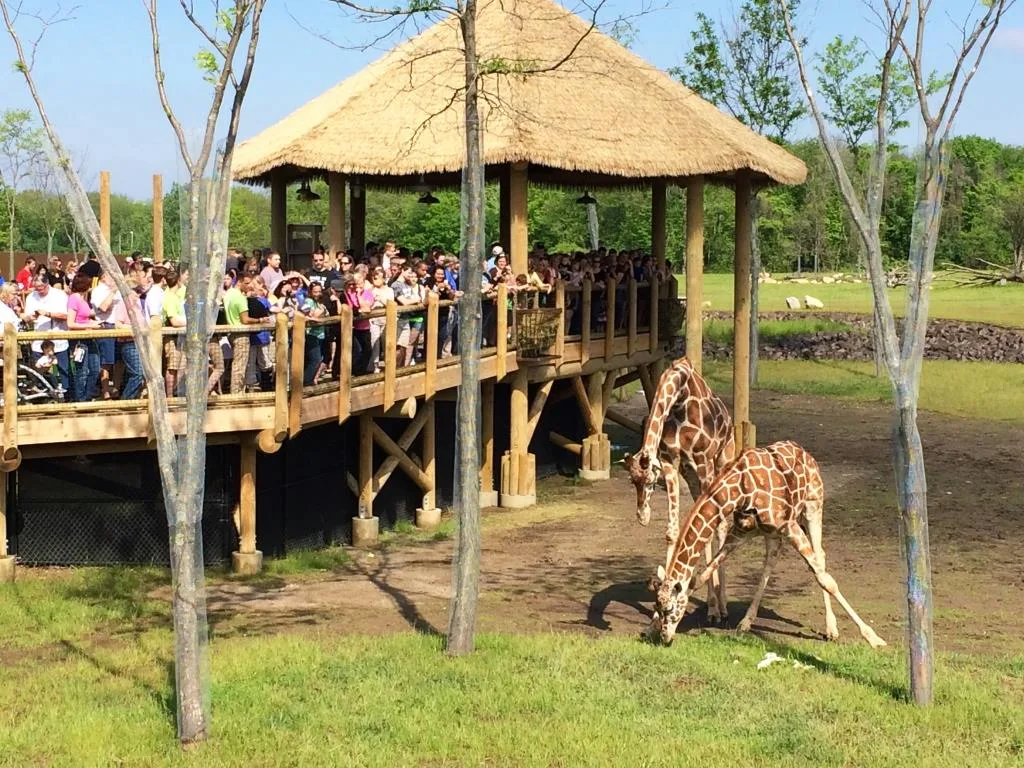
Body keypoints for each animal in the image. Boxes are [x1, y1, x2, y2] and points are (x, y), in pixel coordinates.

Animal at [624, 356, 736, 624]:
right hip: (691, 475)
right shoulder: (670, 463)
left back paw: (721, 607)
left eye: (651, 482)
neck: (680, 398)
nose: (642, 517)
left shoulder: (703, 460)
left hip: (721, 461)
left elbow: (709, 531)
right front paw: (661, 602)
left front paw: (713, 609)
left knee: (721, 525)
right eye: (633, 482)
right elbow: (672, 532)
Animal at [651, 440, 886, 649]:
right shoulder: (741, 532)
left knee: (820, 556)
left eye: (669, 609)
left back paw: (832, 630)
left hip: (812, 507)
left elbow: (826, 580)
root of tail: (806, 453)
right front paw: (651, 626)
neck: (739, 489)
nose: (665, 638)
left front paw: (873, 638)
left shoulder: (790, 526)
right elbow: (700, 576)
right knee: (769, 564)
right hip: (771, 534)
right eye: (657, 605)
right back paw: (746, 623)